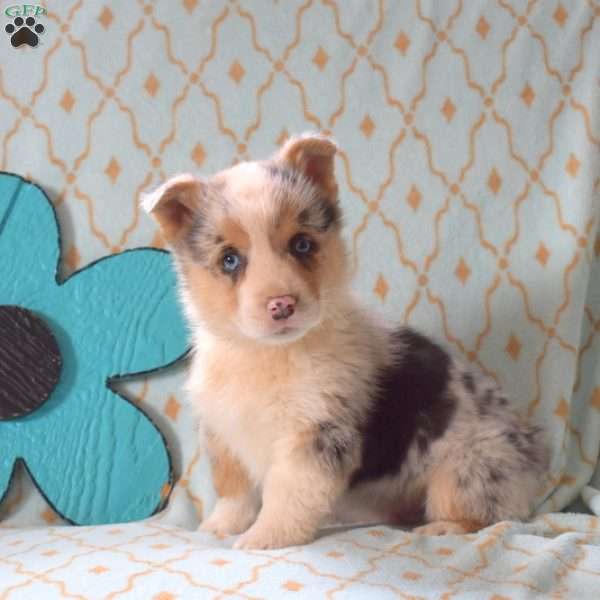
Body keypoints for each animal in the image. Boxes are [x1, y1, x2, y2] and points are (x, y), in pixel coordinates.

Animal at [144, 134, 548, 552]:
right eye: (229, 260)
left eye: (302, 244)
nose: (282, 305)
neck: (268, 353)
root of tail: (534, 453)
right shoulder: (224, 430)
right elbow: (234, 493)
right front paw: (218, 528)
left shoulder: (315, 435)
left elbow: (286, 496)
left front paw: (265, 539)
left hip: (468, 467)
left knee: (486, 513)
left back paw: (443, 528)